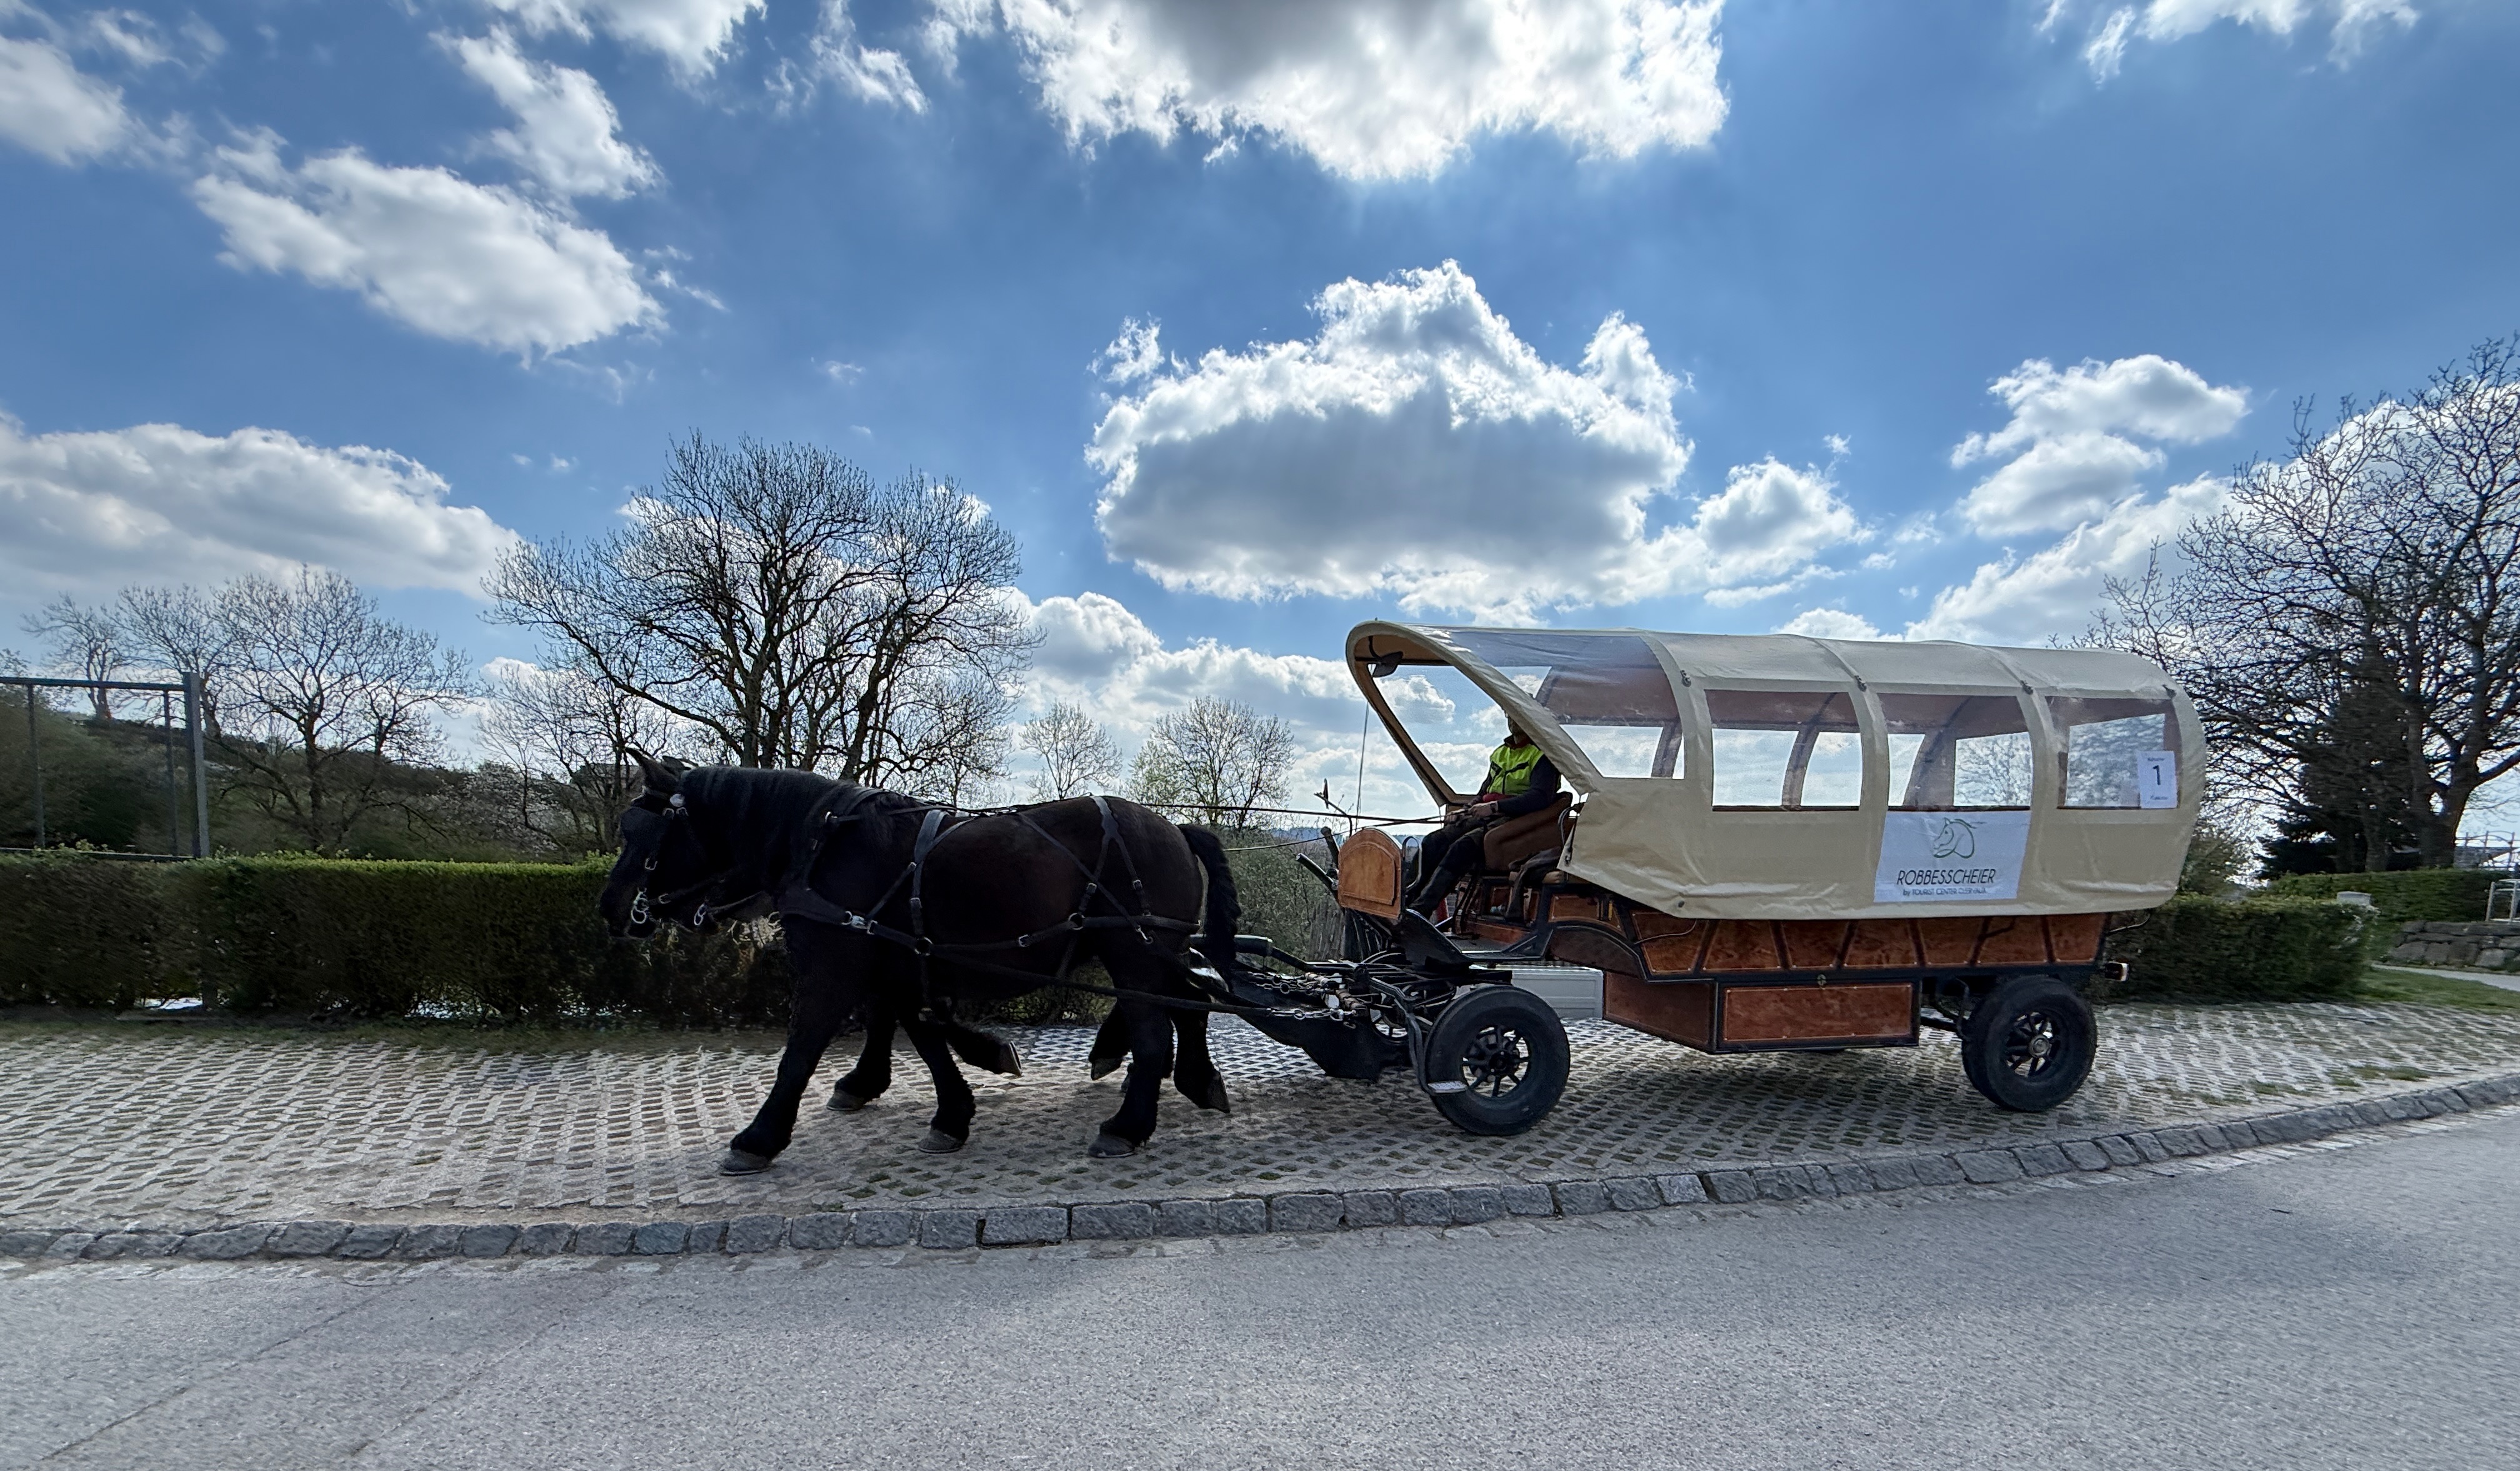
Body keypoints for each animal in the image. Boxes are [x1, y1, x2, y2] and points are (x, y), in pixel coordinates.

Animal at [598, 756, 1241, 1172]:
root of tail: (1172, 825)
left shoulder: (832, 968)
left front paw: (760, 1136)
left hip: (1133, 951)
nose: (610, 909)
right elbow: (921, 1031)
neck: (822, 846)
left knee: (1157, 1031)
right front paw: (953, 1102)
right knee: (1190, 1005)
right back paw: (1190, 1079)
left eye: (640, 829)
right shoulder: (900, 961)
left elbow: (802, 1051)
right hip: (1153, 952)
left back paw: (1127, 1125)